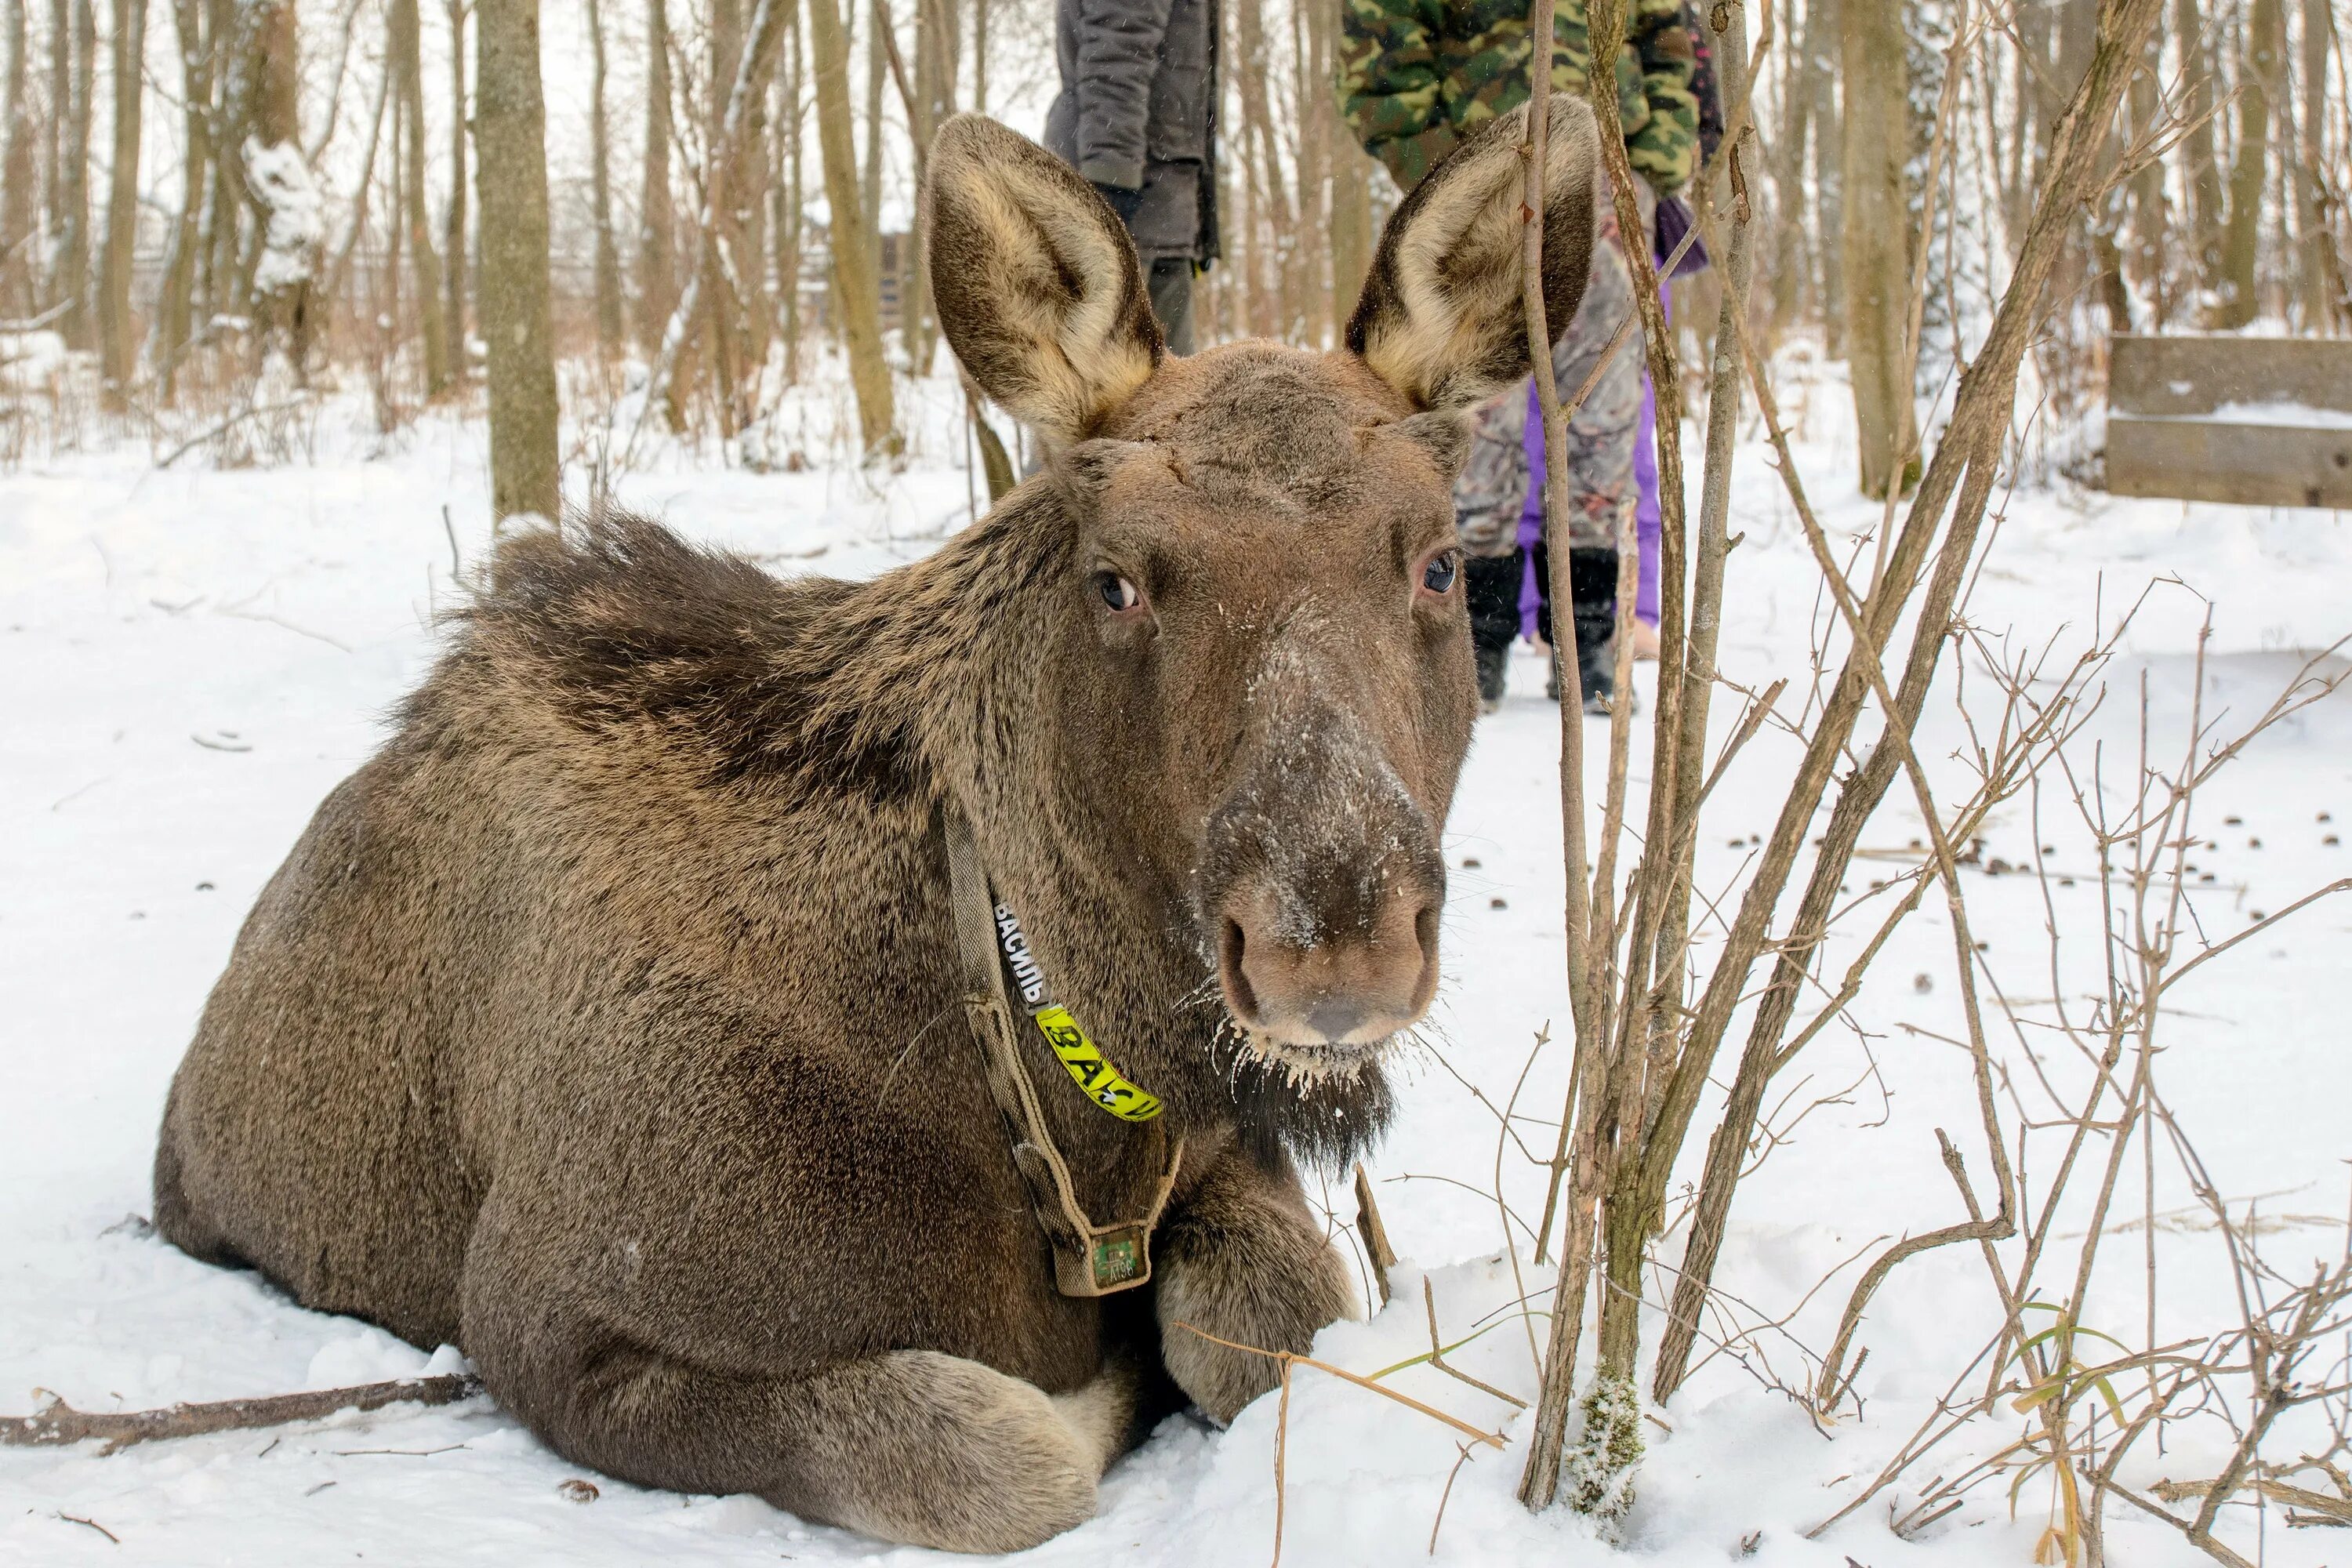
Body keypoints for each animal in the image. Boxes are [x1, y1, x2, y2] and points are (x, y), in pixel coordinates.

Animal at [156, 103, 1609, 1552]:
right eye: (1117, 580)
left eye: (1438, 565)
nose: (1335, 935)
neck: (1054, 1102)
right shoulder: (552, 1317)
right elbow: (1015, 1452)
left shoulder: (1222, 1160)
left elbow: (1277, 1327)